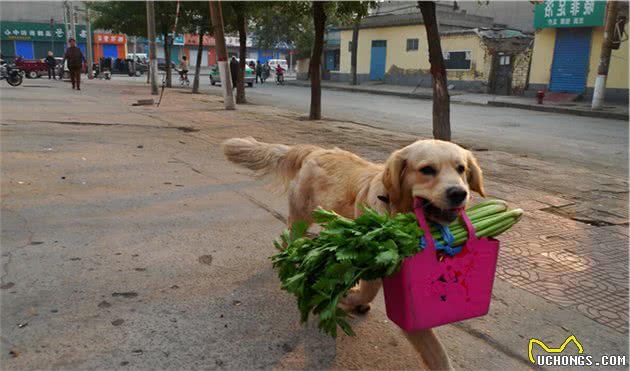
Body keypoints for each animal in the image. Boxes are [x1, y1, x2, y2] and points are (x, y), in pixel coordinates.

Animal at [225, 137, 486, 371]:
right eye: (427, 170)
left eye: (461, 169)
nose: (459, 193)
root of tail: (314, 150)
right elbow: (369, 292)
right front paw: (348, 298)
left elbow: (437, 353)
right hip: (301, 218)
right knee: (288, 240)